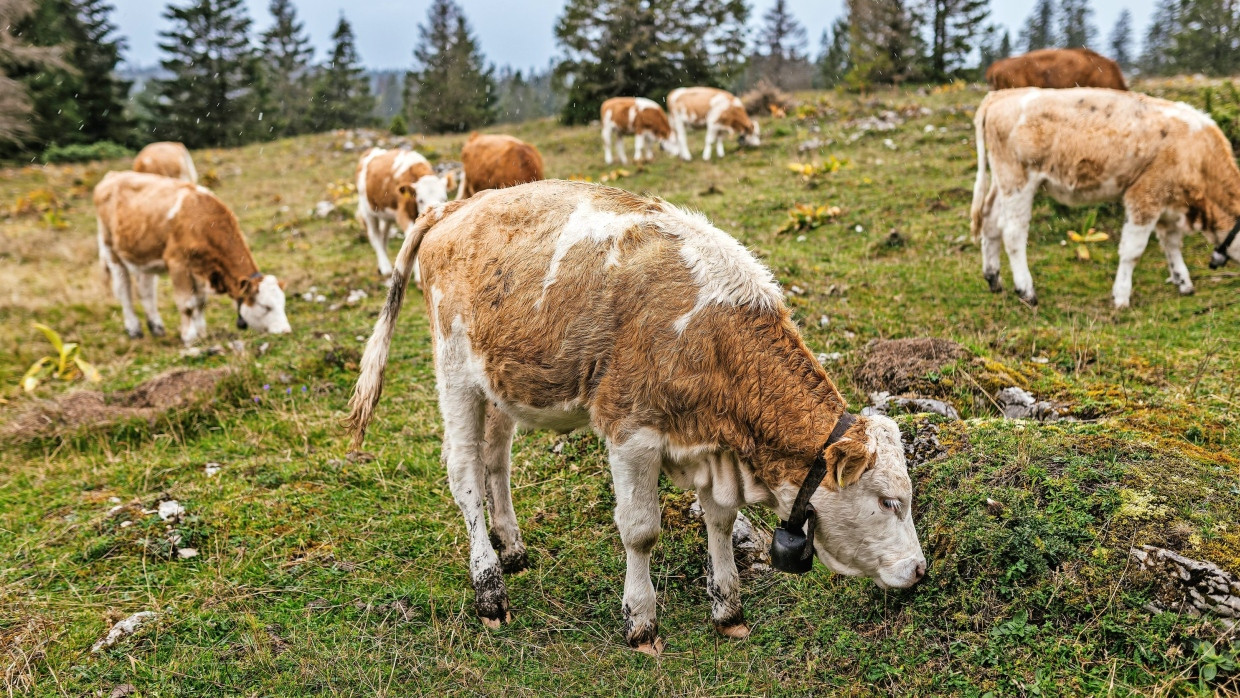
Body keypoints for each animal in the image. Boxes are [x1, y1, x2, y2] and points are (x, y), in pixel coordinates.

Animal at [92, 169, 290, 344]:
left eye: (283, 303)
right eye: (265, 306)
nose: (285, 331)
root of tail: (113, 175)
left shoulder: (200, 268)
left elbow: (200, 302)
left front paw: (201, 332)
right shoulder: (177, 263)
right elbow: (187, 304)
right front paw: (189, 337)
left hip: (143, 254)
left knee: (146, 291)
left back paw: (157, 328)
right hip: (111, 251)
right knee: (124, 291)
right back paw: (134, 330)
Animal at [349, 177, 922, 654]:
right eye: (889, 501)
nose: (918, 569)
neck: (712, 335)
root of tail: (458, 206)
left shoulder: (711, 446)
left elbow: (719, 520)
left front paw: (728, 610)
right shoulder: (631, 434)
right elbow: (640, 530)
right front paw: (641, 623)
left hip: (500, 383)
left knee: (496, 462)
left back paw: (511, 548)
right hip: (455, 373)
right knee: (465, 471)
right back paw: (490, 589)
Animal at [357, 147, 448, 278]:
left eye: (444, 198)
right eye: (420, 200)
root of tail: (371, 150)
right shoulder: (402, 213)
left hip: (386, 215)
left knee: (383, 235)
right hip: (368, 211)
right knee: (375, 235)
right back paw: (385, 267)